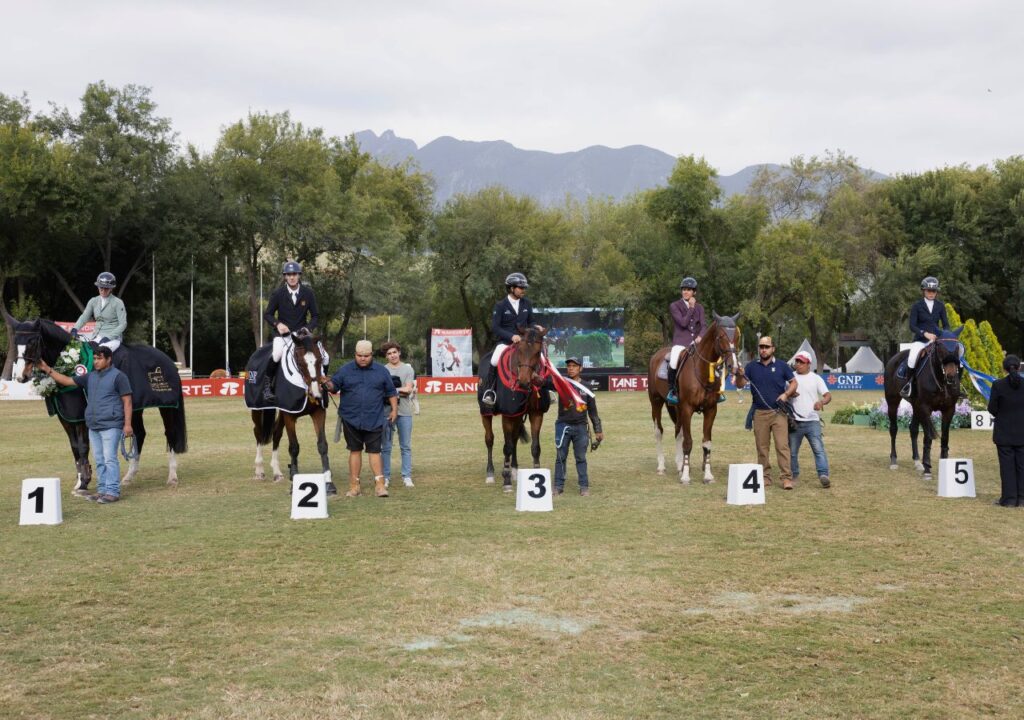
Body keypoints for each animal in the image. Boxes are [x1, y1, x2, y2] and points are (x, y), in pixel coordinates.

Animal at [7, 314, 188, 490]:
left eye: (32, 341)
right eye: (15, 342)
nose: (21, 376)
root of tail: (168, 361)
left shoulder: (80, 417)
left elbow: (83, 446)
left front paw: (85, 481)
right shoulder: (65, 417)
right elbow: (74, 447)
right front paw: (80, 480)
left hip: (167, 408)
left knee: (170, 434)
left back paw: (172, 477)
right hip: (135, 408)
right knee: (139, 434)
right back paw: (128, 477)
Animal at [247, 334, 334, 493]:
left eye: (319, 360)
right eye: (300, 362)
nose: (316, 393)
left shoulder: (318, 412)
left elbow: (322, 445)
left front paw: (328, 480)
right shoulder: (290, 415)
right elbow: (294, 447)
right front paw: (294, 476)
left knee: (276, 433)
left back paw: (277, 472)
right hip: (257, 409)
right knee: (258, 433)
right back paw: (259, 470)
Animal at [477, 326, 551, 492]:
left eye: (538, 352)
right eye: (520, 350)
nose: (523, 382)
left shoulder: (536, 414)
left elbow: (535, 447)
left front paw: (536, 474)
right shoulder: (508, 416)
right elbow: (507, 447)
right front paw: (506, 481)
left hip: (518, 416)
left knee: (515, 439)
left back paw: (515, 471)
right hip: (486, 413)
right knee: (489, 439)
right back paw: (490, 474)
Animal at [647, 313, 746, 483]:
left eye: (737, 336)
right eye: (721, 336)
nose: (733, 366)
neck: (701, 371)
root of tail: (657, 355)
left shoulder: (711, 410)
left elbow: (706, 443)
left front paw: (707, 475)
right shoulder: (687, 409)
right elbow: (688, 442)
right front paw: (686, 477)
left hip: (676, 407)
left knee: (678, 431)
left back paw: (679, 465)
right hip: (656, 402)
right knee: (659, 430)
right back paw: (661, 466)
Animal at [883, 327, 964, 480]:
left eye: (957, 347)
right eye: (940, 346)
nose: (951, 376)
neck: (941, 381)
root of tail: (894, 358)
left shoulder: (949, 409)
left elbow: (945, 438)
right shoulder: (926, 408)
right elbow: (928, 438)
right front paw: (927, 469)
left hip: (916, 406)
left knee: (913, 430)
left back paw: (917, 462)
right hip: (893, 401)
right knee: (893, 429)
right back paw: (894, 461)